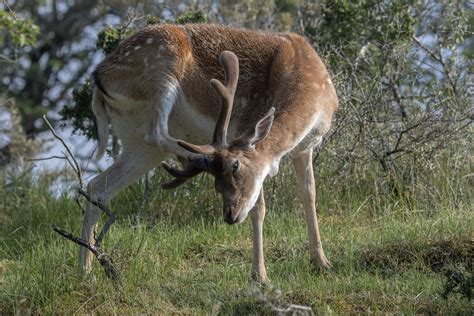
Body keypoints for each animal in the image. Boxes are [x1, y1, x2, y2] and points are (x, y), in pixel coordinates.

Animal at [83, 23, 338, 282]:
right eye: (218, 184)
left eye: (235, 167)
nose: (230, 215)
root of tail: (98, 80)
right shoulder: (247, 126)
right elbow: (259, 207)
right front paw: (260, 275)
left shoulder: (305, 148)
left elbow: (308, 194)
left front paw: (322, 262)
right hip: (162, 72)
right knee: (156, 132)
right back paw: (195, 158)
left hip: (137, 144)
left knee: (98, 186)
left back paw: (86, 271)